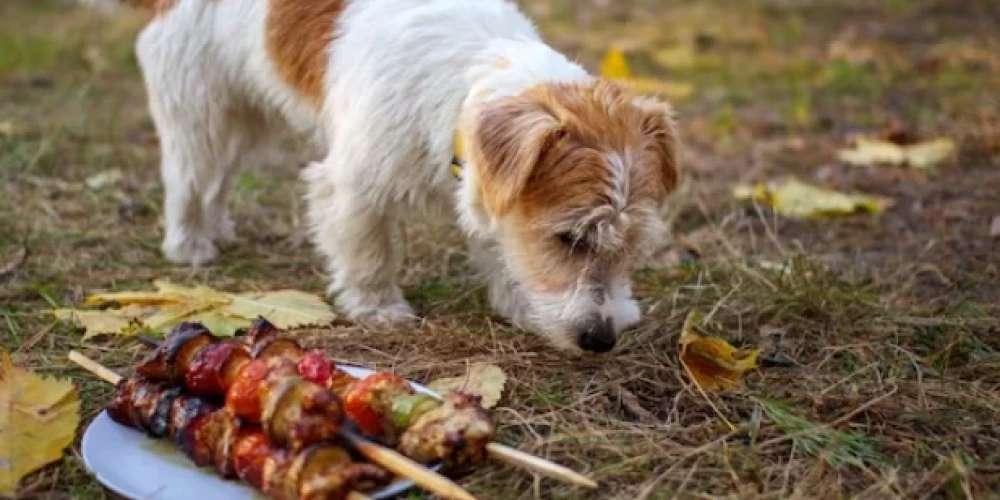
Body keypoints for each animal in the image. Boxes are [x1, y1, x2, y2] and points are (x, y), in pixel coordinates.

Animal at [97, 0, 684, 354]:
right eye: (570, 239)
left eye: (633, 247)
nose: (601, 340)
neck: (468, 76)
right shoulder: (352, 185)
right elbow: (368, 250)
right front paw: (378, 308)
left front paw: (519, 304)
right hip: (200, 110)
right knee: (189, 177)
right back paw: (190, 243)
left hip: (247, 121)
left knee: (218, 180)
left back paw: (215, 230)